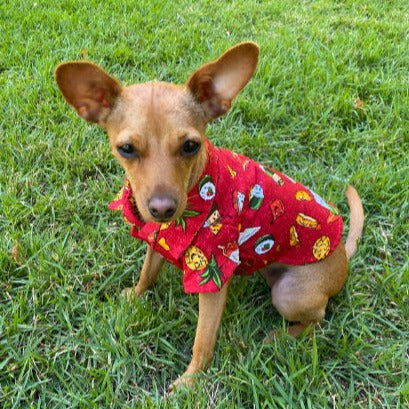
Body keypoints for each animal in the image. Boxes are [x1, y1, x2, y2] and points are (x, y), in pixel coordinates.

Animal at [54, 41, 364, 388]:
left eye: (191, 146)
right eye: (126, 149)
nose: (162, 208)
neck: (195, 193)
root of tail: (342, 255)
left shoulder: (212, 278)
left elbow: (202, 341)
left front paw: (189, 384)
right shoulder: (157, 241)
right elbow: (148, 273)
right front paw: (135, 295)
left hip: (289, 295)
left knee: (319, 318)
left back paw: (282, 336)